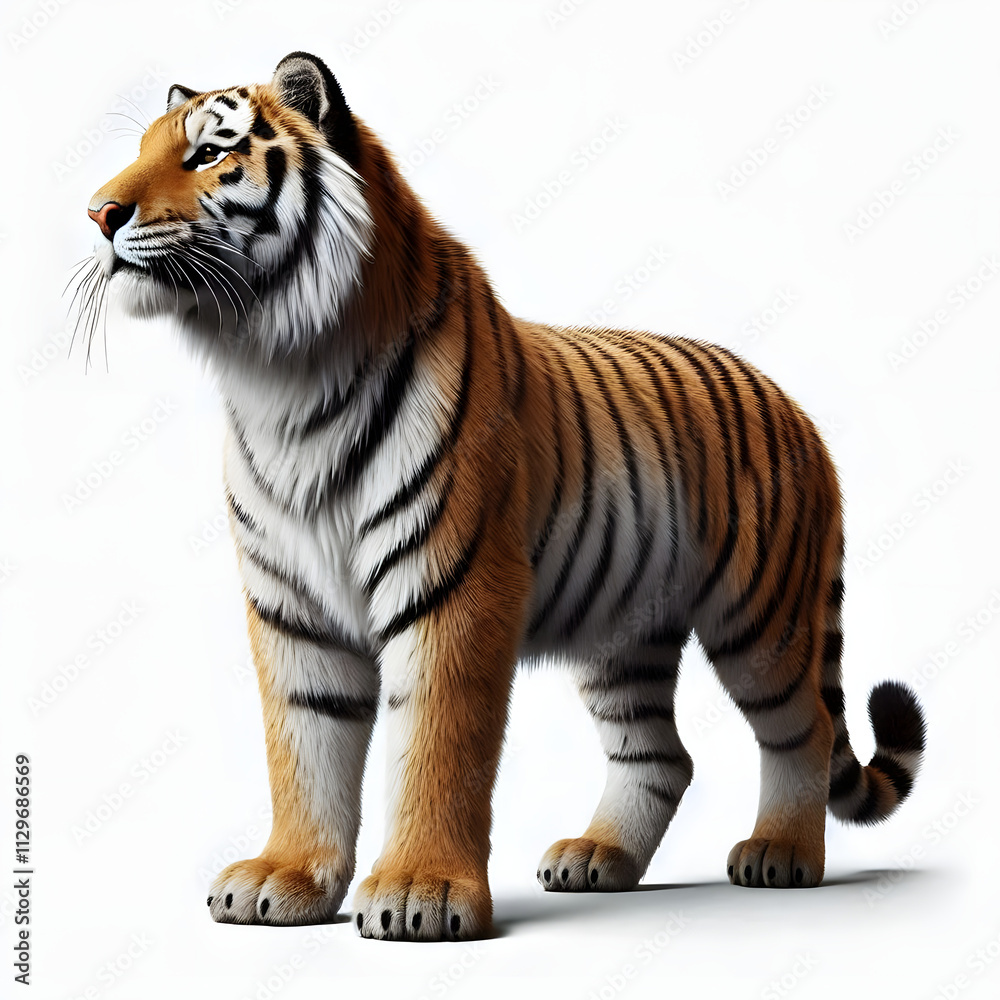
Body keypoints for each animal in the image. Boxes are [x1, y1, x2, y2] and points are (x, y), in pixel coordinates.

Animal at [80, 51, 926, 941]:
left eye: (208, 154)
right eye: (140, 149)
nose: (97, 213)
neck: (275, 374)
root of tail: (795, 406)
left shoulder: (453, 582)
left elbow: (437, 746)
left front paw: (418, 893)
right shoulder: (290, 603)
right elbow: (302, 745)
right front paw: (286, 879)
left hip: (764, 617)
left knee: (806, 730)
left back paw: (781, 854)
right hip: (626, 633)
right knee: (660, 755)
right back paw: (597, 858)